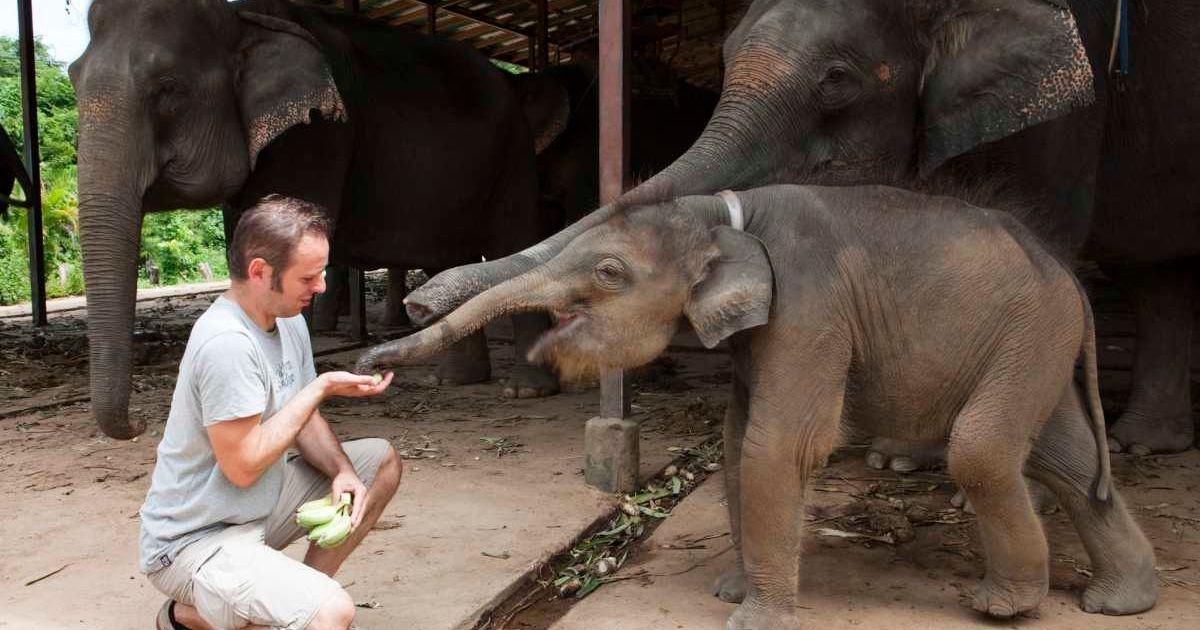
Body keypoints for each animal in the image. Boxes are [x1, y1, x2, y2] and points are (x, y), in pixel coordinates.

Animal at [68, 0, 573, 438]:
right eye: (72, 79)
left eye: (168, 89)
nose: (138, 425)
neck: (242, 19)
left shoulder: (318, 132)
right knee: (448, 259)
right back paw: (452, 382)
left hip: (512, 155)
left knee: (513, 241)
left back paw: (524, 391)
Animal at [358, 184, 1158, 628]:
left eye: (610, 272)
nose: (369, 362)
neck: (725, 208)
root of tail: (1068, 275)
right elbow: (737, 431)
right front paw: (730, 590)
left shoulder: (812, 303)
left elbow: (779, 444)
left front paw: (752, 619)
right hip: (1036, 344)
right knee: (1065, 457)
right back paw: (1120, 603)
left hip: (1029, 335)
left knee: (985, 447)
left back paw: (1004, 606)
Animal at [404, 0, 1200, 455]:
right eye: (726, 59)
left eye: (838, 79)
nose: (416, 299)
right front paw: (879, 446)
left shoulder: (1060, 109)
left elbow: (1032, 236)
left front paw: (906, 456)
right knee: (1160, 282)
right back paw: (1145, 446)